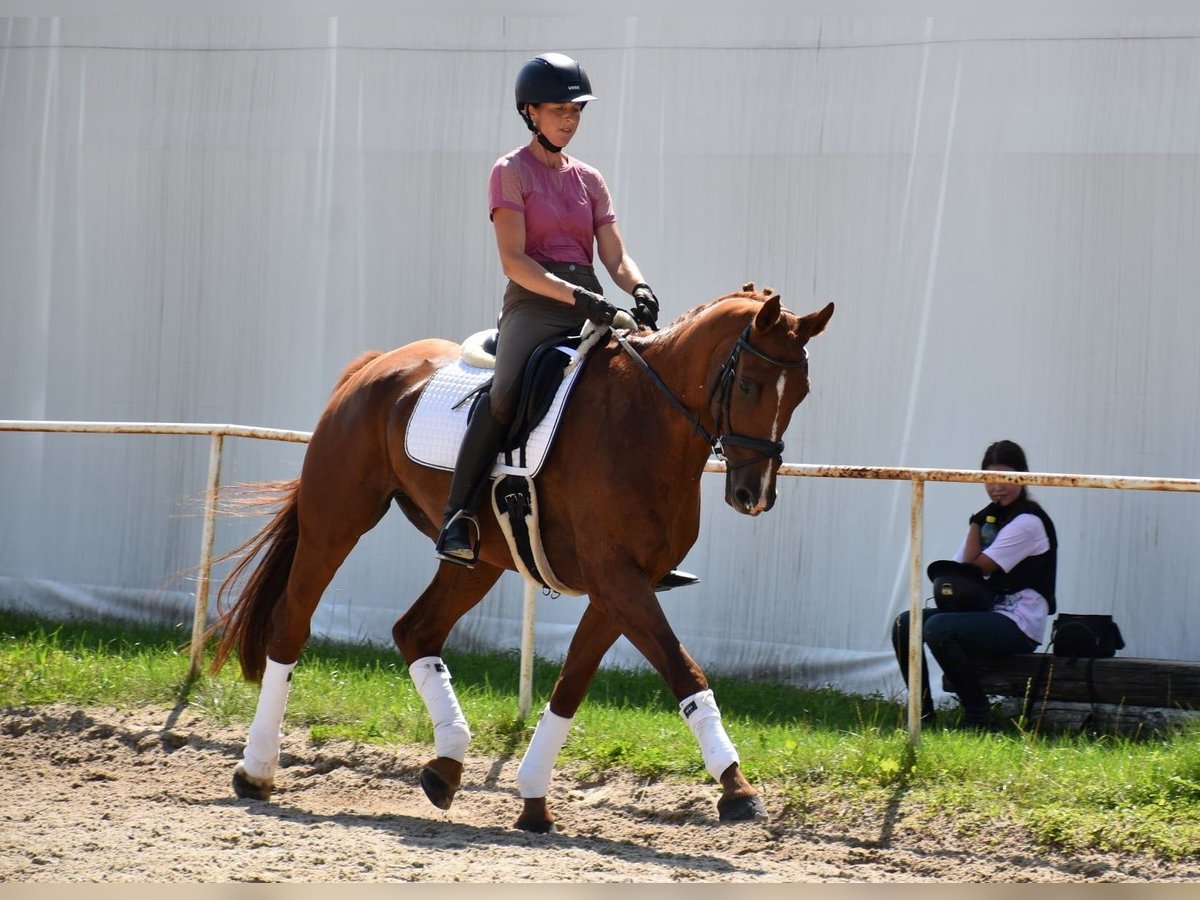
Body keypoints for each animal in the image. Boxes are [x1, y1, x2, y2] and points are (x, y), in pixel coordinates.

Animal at [208, 285, 835, 835]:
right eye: (750, 384)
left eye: (801, 392)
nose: (754, 494)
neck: (646, 422)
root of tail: (374, 365)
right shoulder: (619, 581)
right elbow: (685, 670)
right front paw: (738, 792)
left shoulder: (620, 589)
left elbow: (571, 687)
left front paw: (533, 799)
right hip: (336, 521)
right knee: (293, 623)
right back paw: (256, 770)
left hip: (479, 559)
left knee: (416, 630)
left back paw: (446, 766)